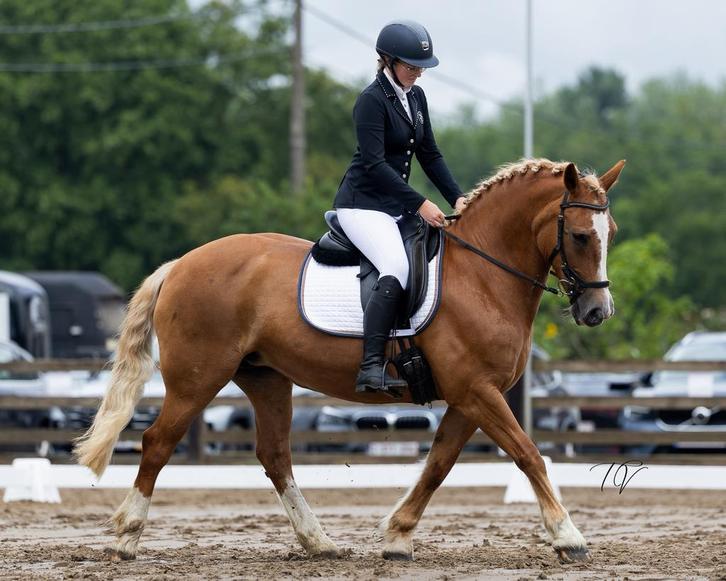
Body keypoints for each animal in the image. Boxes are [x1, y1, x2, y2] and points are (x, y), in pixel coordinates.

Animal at [74, 157, 624, 564]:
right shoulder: (477, 391)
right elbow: (528, 454)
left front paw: (397, 536)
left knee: (275, 456)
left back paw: (320, 544)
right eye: (580, 235)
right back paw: (127, 537)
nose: (598, 311)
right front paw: (568, 536)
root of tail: (181, 263)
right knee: (157, 443)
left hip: (265, 378)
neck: (482, 274)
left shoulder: (470, 396)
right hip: (197, 379)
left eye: (611, 232)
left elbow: (439, 463)